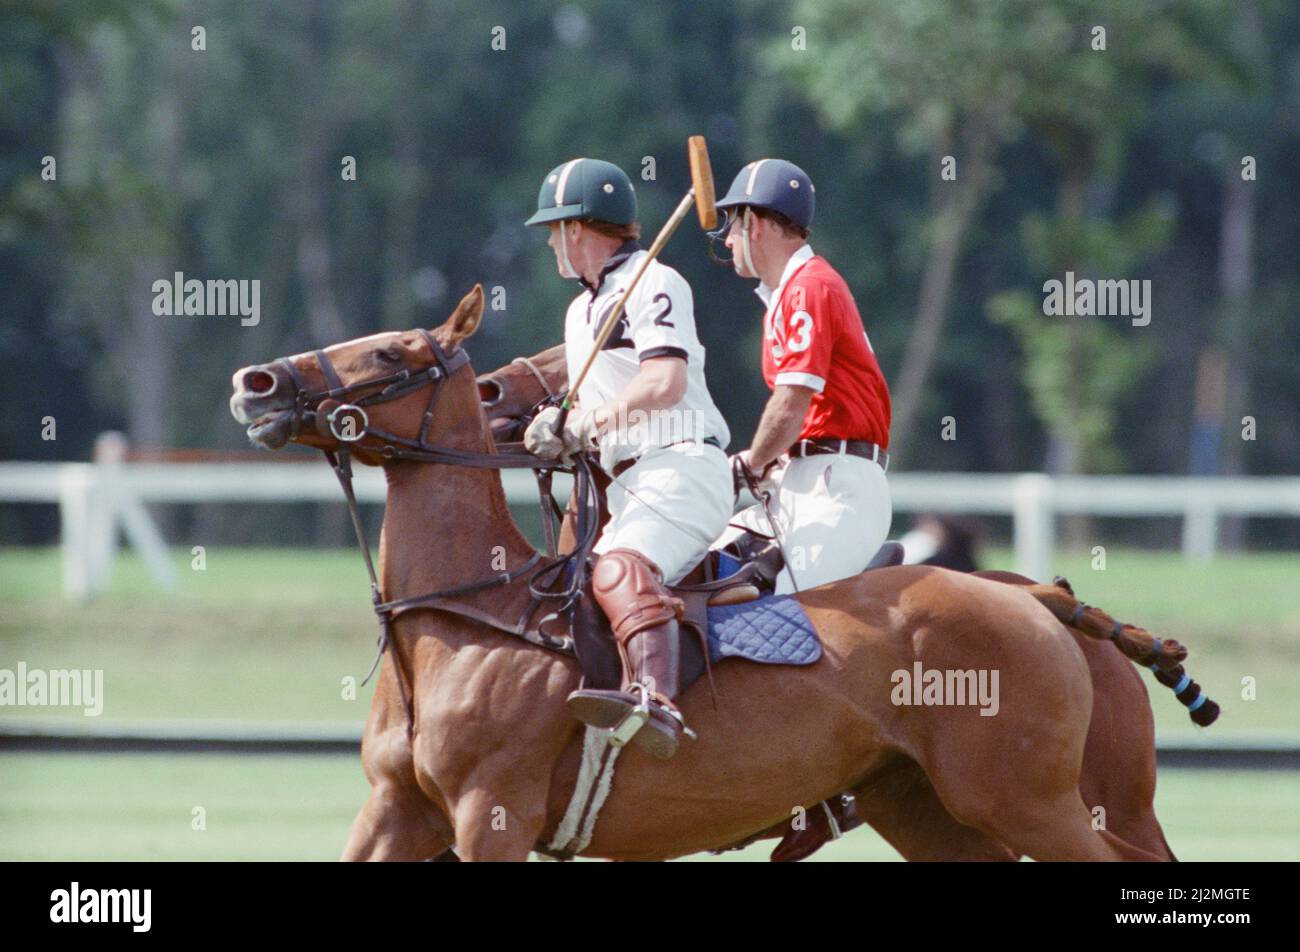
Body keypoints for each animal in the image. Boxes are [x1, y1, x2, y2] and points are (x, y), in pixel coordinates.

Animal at [231, 286, 1206, 858]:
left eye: (393, 353)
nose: (257, 382)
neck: (470, 609)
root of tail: (1036, 600)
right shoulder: (398, 812)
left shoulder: (490, 815)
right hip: (932, 809)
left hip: (1033, 801)